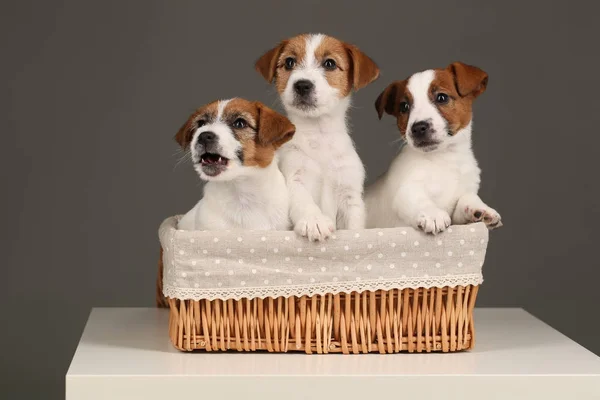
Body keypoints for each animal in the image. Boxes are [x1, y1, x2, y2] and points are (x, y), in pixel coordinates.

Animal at [254, 33, 378, 241]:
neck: (319, 135)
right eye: (289, 62)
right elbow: (304, 202)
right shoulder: (294, 179)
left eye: (329, 63)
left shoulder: (350, 194)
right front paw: (315, 220)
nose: (302, 85)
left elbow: (354, 225)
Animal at [366, 61, 502, 233]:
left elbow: (467, 197)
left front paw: (479, 208)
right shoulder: (405, 191)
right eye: (404, 107)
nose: (418, 128)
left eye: (441, 97)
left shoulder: (458, 209)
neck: (444, 158)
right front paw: (432, 214)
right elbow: (418, 198)